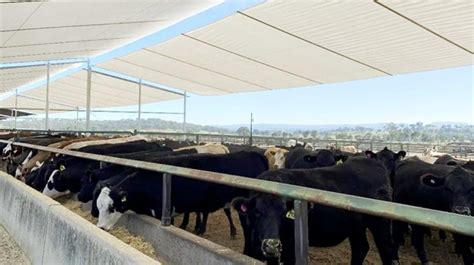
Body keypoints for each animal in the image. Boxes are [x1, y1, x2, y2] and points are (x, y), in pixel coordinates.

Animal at [231, 156, 394, 262]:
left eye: (283, 214)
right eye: (257, 212)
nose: (272, 245)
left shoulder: (290, 248)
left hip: (380, 225)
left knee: (387, 252)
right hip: (356, 226)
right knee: (360, 248)